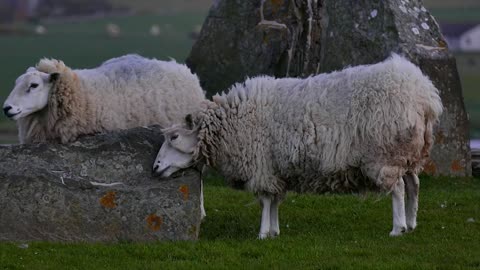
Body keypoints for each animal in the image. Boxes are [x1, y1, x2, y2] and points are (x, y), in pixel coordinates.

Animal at [153, 54, 442, 238]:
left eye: (174, 137)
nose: (155, 167)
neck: (232, 123)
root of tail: (423, 94)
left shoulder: (261, 166)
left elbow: (265, 200)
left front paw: (263, 233)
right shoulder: (275, 170)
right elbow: (274, 200)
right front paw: (274, 230)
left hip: (386, 155)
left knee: (398, 189)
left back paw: (398, 228)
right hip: (410, 155)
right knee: (414, 185)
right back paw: (412, 223)